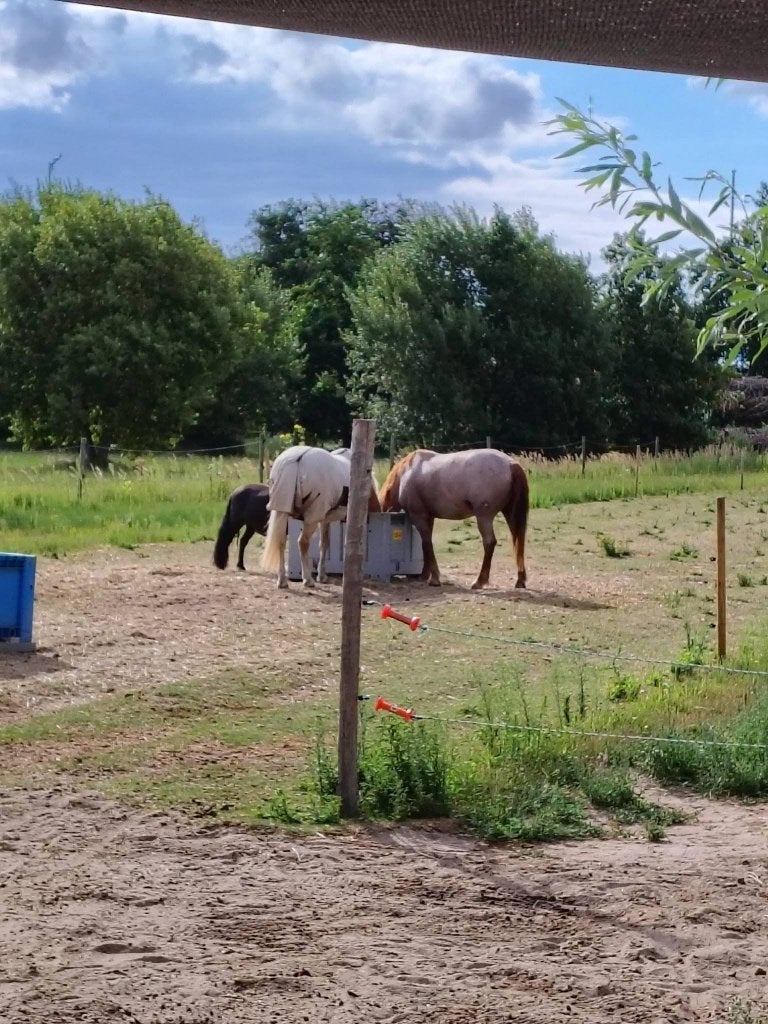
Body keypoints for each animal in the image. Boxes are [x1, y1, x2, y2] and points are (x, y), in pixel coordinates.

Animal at [261, 446, 381, 588]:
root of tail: (296, 459)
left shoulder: (324, 520)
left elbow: (324, 544)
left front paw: (322, 575)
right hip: (311, 518)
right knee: (302, 542)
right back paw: (307, 579)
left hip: (282, 512)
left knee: (281, 542)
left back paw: (282, 580)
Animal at [379, 448, 529, 589]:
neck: (406, 473)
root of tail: (511, 464)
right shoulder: (429, 517)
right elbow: (425, 544)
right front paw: (424, 575)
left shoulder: (419, 516)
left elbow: (427, 543)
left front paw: (434, 579)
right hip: (510, 514)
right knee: (518, 542)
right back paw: (520, 580)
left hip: (484, 517)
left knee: (489, 542)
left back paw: (479, 581)